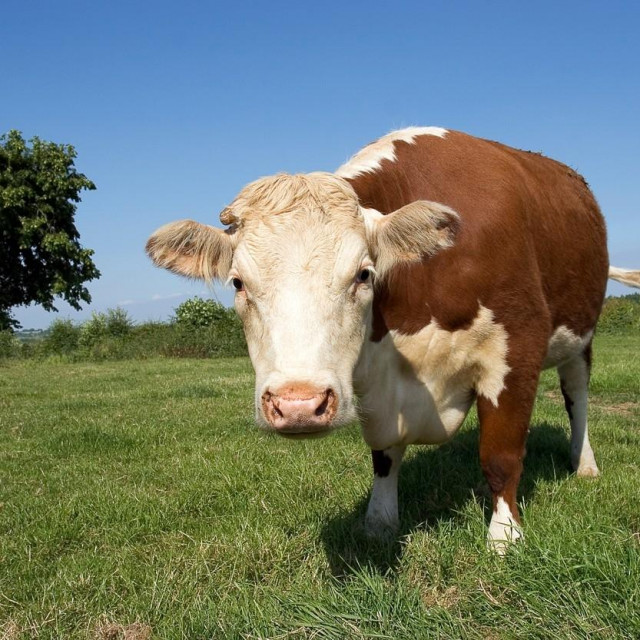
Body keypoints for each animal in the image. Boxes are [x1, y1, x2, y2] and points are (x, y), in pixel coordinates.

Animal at [147, 127, 639, 553]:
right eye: (237, 283)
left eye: (364, 274)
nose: (298, 404)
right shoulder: (379, 384)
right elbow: (383, 455)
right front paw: (379, 522)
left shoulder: (516, 348)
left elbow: (501, 452)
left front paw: (504, 536)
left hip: (580, 333)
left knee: (576, 396)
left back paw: (584, 464)